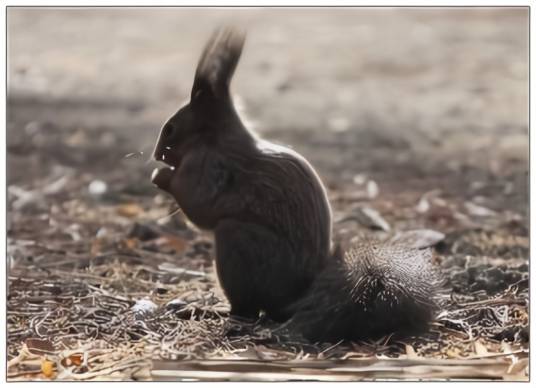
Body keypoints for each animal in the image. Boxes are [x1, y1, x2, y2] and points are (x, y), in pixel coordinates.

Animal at [152, 28, 444, 342]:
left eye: (170, 128)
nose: (156, 155)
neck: (214, 139)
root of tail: (296, 299)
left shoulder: (212, 168)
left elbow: (200, 207)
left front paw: (160, 176)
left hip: (240, 242)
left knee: (247, 308)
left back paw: (217, 312)